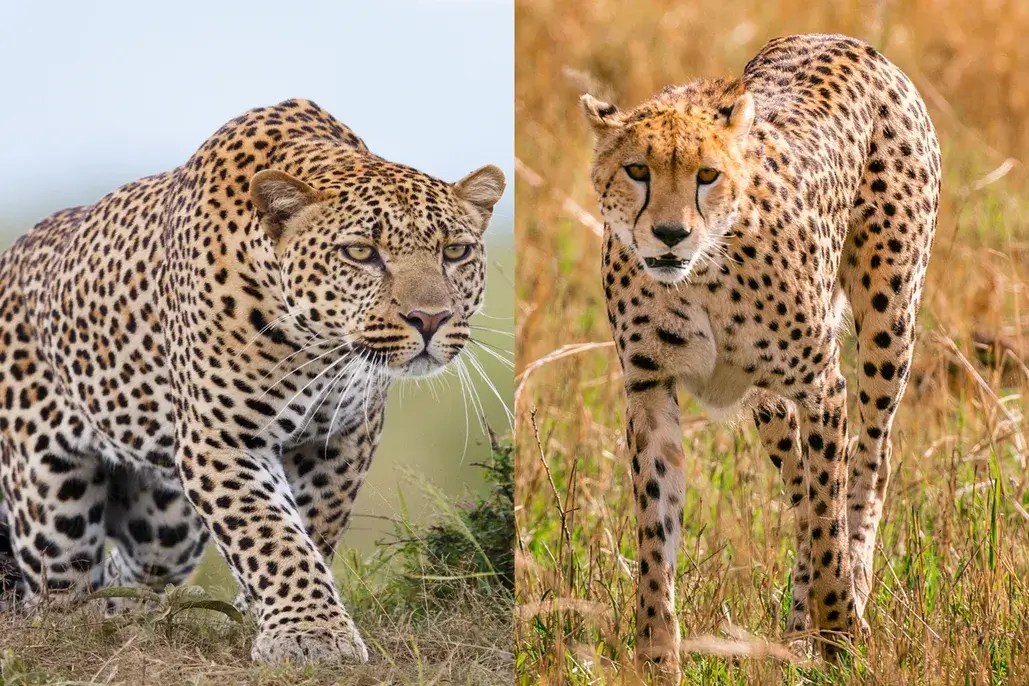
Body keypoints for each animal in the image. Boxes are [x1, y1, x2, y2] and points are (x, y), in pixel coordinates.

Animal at [0, 98, 505, 664]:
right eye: (360, 253)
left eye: (456, 252)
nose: (430, 319)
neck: (317, 347)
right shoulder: (222, 439)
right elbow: (270, 533)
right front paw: (310, 634)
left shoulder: (341, 439)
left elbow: (310, 527)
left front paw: (263, 616)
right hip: (50, 503)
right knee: (58, 593)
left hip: (165, 523)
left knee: (130, 573)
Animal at [581, 34, 940, 677]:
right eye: (637, 170)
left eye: (707, 175)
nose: (669, 235)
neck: (700, 276)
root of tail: (838, 37)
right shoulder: (650, 391)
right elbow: (655, 534)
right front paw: (657, 657)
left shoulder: (823, 386)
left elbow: (827, 522)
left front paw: (843, 637)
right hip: (769, 404)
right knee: (799, 484)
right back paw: (796, 634)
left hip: (888, 323)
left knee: (869, 464)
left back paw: (848, 596)